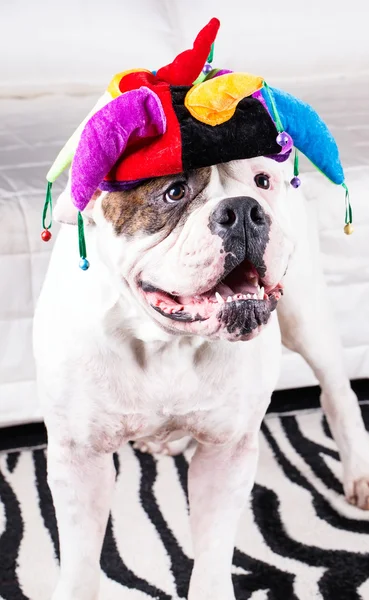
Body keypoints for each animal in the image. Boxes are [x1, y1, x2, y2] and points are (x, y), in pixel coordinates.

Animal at [33, 156, 368, 600]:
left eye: (262, 181)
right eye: (174, 191)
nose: (243, 209)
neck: (163, 340)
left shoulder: (227, 453)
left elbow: (212, 555)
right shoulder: (80, 458)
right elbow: (80, 563)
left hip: (306, 316)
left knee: (337, 391)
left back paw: (358, 471)